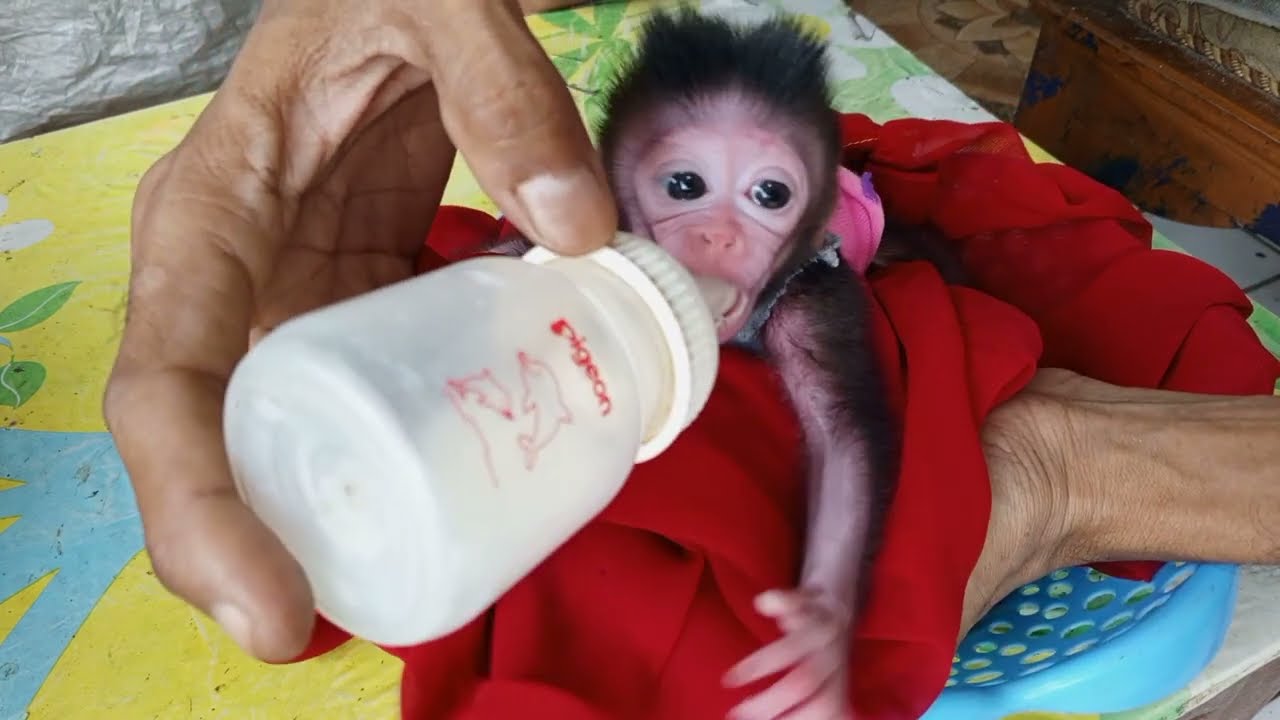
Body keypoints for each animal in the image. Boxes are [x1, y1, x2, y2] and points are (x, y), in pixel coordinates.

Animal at [484, 9, 964, 718]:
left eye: (769, 193)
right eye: (686, 185)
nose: (721, 236)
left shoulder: (813, 296)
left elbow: (842, 435)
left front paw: (819, 640)